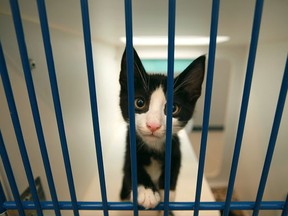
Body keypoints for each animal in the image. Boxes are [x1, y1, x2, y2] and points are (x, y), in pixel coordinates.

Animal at [118, 48, 205, 210]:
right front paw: (147, 192)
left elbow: (174, 165)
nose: (153, 125)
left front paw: (167, 193)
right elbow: (130, 168)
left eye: (173, 108)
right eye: (140, 102)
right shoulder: (129, 147)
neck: (153, 149)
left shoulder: (175, 147)